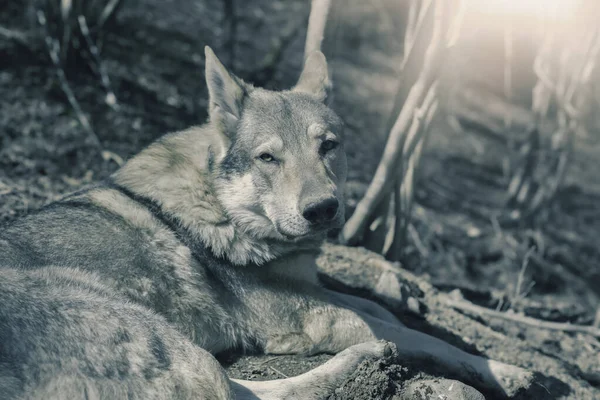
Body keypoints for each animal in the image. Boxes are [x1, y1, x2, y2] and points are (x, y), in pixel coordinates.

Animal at [0, 45, 536, 398]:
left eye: (328, 146)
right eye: (268, 158)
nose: (322, 210)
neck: (225, 208)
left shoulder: (312, 288)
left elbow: (383, 309)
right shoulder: (312, 316)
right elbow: (423, 337)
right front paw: (505, 371)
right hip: (167, 339)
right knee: (256, 394)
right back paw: (370, 358)